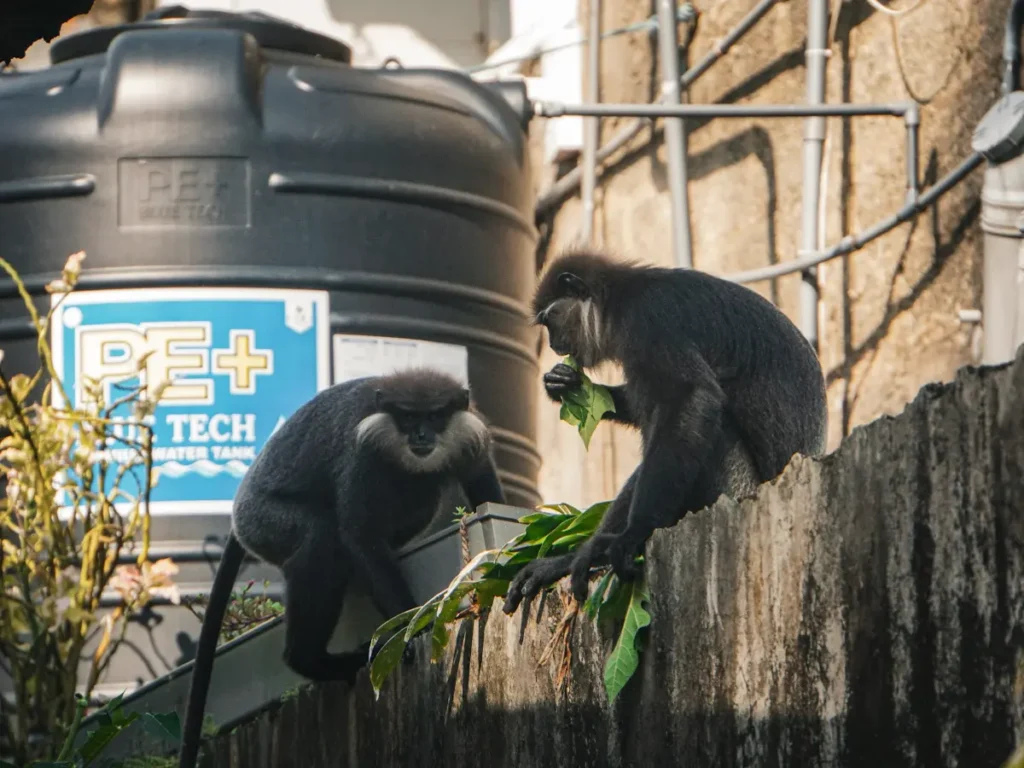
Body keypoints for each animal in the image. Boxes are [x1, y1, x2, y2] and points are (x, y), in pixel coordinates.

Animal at [183, 368, 507, 768]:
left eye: (434, 416)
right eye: (408, 418)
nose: (420, 436)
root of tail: (237, 516)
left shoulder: (470, 440)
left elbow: (486, 494)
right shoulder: (361, 455)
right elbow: (358, 533)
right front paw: (410, 627)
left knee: (422, 494)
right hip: (262, 522)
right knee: (322, 537)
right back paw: (311, 660)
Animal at [499, 249, 827, 618]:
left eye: (549, 320)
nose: (554, 345)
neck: (620, 298)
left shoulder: (649, 320)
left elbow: (693, 397)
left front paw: (630, 536)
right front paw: (565, 384)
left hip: (739, 487)